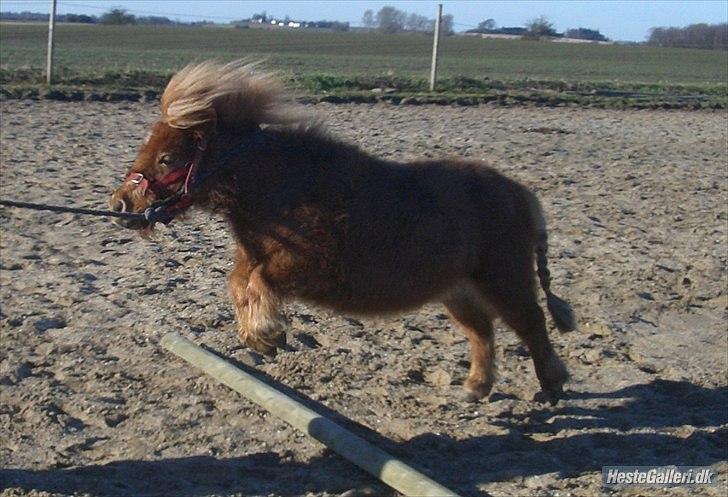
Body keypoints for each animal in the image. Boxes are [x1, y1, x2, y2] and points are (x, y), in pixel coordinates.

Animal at [109, 60, 576, 402]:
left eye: (167, 158)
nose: (120, 205)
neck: (281, 188)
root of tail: (520, 194)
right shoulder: (256, 260)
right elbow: (239, 284)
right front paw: (263, 338)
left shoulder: (310, 266)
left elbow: (258, 282)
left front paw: (267, 333)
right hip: (458, 290)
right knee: (483, 331)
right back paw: (476, 388)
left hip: (503, 279)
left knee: (531, 322)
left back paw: (551, 385)